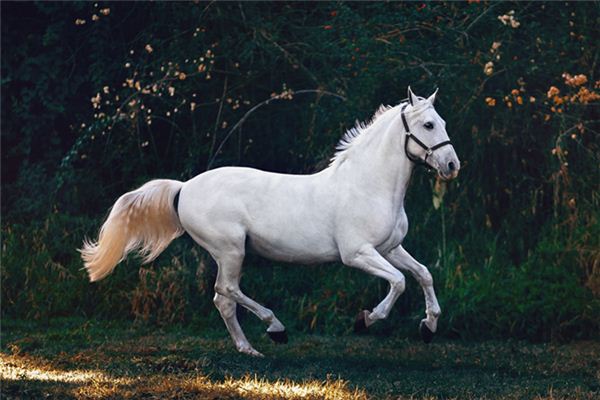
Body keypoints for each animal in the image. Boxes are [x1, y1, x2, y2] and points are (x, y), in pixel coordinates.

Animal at [82, 87, 460, 356]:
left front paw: (429, 327)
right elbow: (399, 282)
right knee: (227, 291)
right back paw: (275, 329)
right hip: (230, 250)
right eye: (428, 125)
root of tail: (184, 188)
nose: (452, 165)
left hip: (230, 253)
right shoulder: (357, 254)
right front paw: (365, 320)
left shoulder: (390, 248)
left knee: (223, 299)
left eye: (443, 123)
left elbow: (423, 274)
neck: (368, 185)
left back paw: (249, 349)